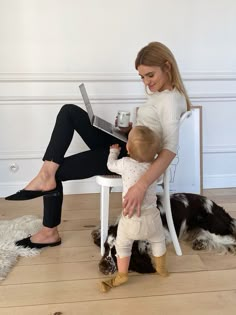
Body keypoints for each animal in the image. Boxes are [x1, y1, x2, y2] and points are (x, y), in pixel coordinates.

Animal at [91, 193, 236, 274]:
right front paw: (97, 233)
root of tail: (217, 207)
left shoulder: (165, 235)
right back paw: (200, 242)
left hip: (211, 226)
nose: (102, 267)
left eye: (118, 253)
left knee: (231, 238)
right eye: (106, 248)